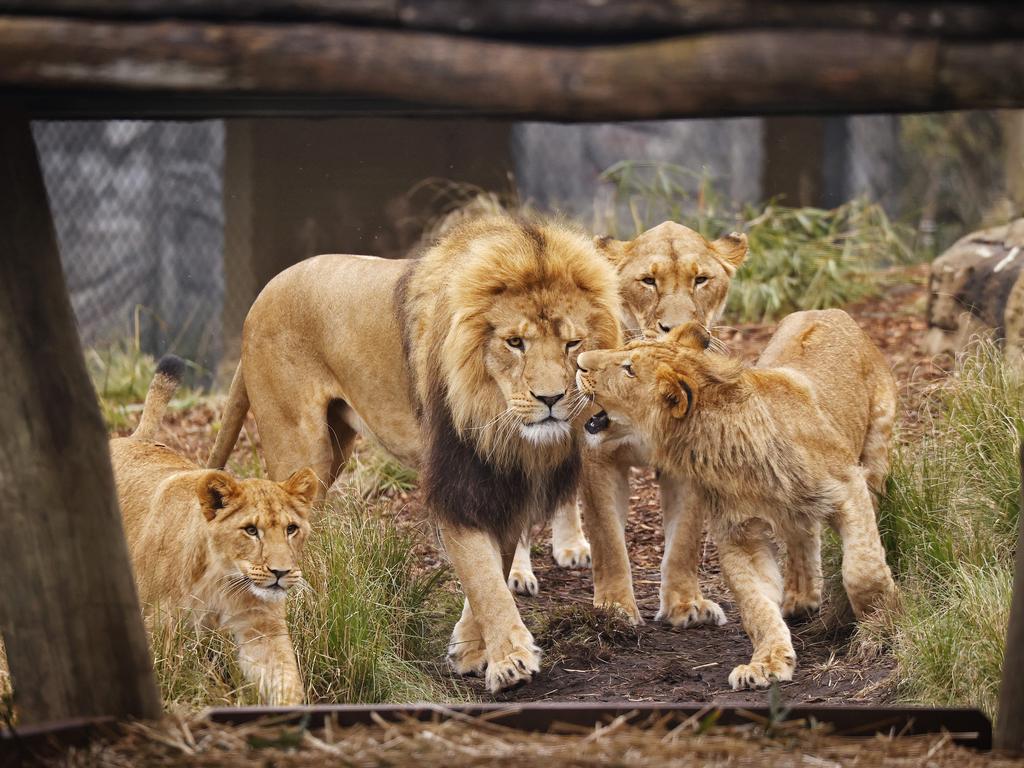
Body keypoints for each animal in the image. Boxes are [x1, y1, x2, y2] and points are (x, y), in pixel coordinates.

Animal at [107, 354, 315, 704]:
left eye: (291, 529)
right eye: (251, 530)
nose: (281, 572)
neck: (222, 580)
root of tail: (135, 439)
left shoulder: (261, 630)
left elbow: (286, 681)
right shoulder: (159, 627)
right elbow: (169, 678)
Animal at [206, 214, 614, 696]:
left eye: (572, 344)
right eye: (515, 343)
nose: (550, 399)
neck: (496, 415)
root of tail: (260, 296)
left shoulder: (502, 481)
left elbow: (493, 567)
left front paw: (468, 650)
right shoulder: (458, 482)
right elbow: (483, 577)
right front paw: (511, 662)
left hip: (334, 448)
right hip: (301, 445)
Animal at [509, 221, 745, 630]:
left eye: (701, 279)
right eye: (648, 281)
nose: (677, 328)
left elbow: (684, 540)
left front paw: (686, 605)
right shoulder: (598, 458)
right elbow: (609, 540)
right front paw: (614, 608)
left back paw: (571, 546)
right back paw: (518, 573)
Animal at [577, 311, 897, 692]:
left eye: (629, 369)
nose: (578, 361)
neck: (724, 447)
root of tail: (827, 311)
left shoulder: (849, 487)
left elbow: (861, 568)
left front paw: (882, 624)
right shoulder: (738, 534)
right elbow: (755, 604)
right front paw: (767, 662)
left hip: (876, 453)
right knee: (802, 534)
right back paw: (801, 598)